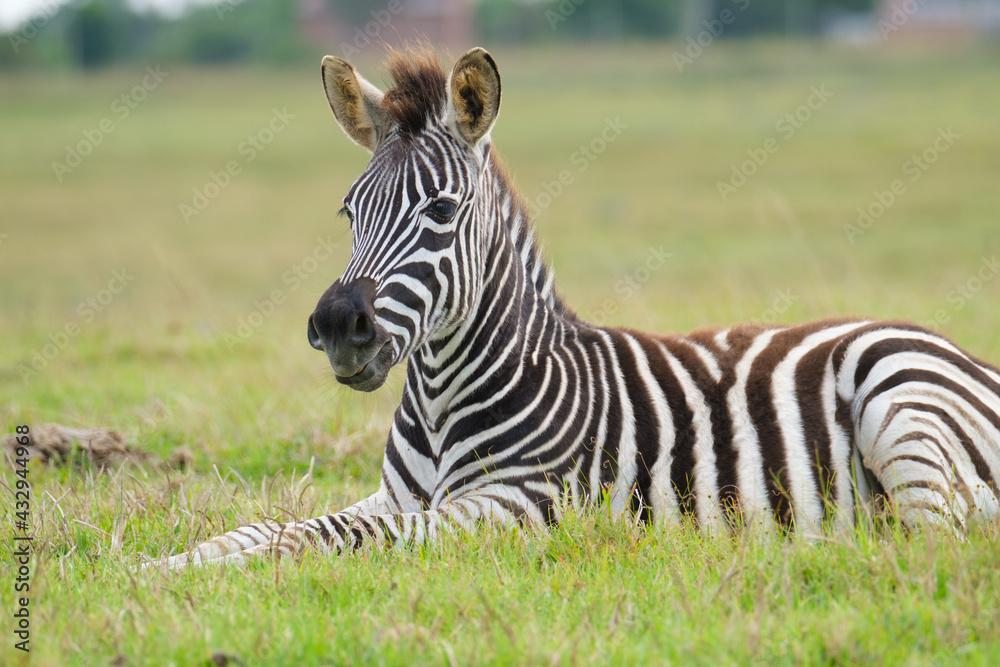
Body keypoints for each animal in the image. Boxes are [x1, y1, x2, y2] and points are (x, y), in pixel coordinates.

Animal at [149, 46, 999, 569]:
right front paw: (164, 563)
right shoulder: (402, 491)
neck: (443, 400)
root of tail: (966, 354)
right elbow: (276, 523)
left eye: (441, 211)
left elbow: (337, 534)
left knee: (935, 538)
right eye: (349, 212)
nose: (336, 327)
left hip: (900, 403)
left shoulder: (517, 506)